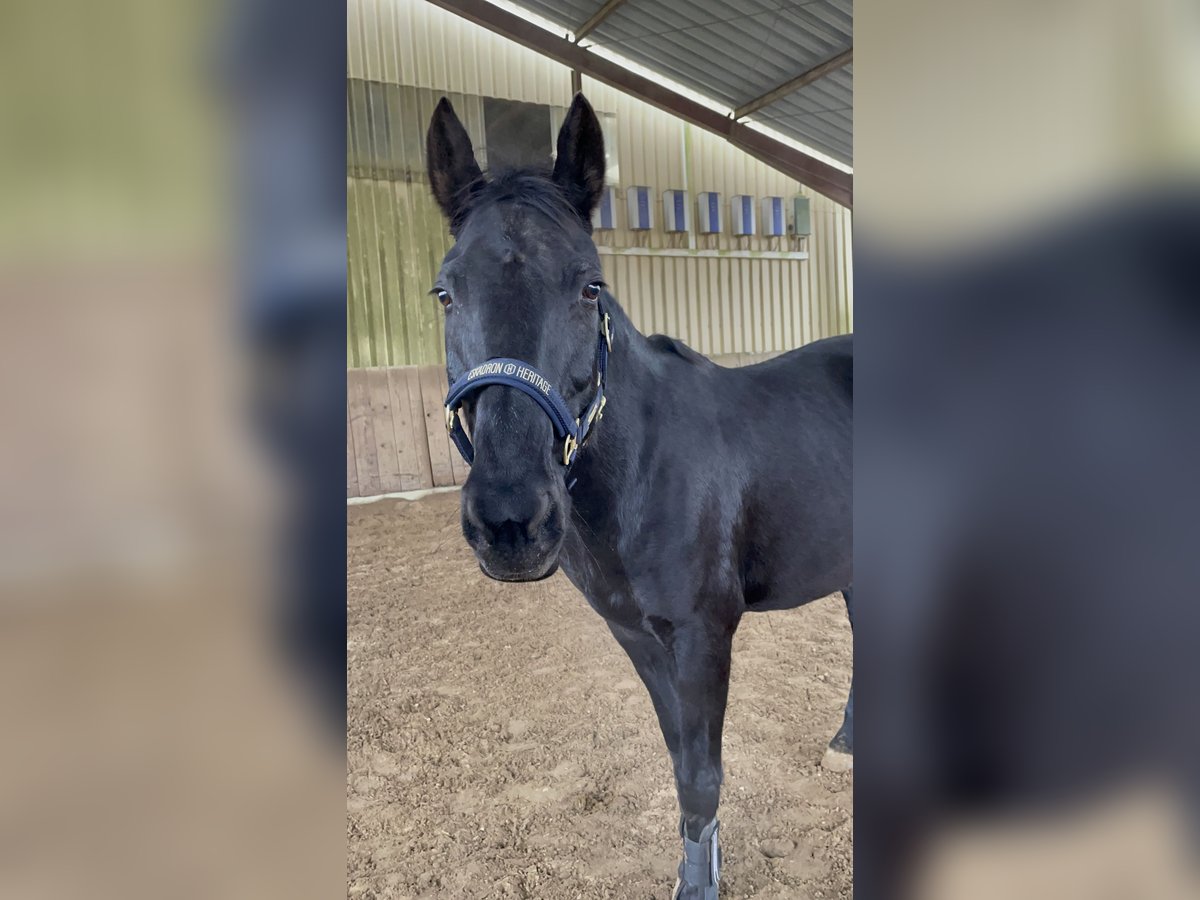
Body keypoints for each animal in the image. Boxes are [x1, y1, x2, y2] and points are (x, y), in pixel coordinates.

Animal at [427, 95, 849, 897]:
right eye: (444, 291)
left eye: (590, 286)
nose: (510, 520)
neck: (643, 476)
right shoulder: (637, 639)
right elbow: (682, 764)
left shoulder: (702, 637)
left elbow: (704, 777)